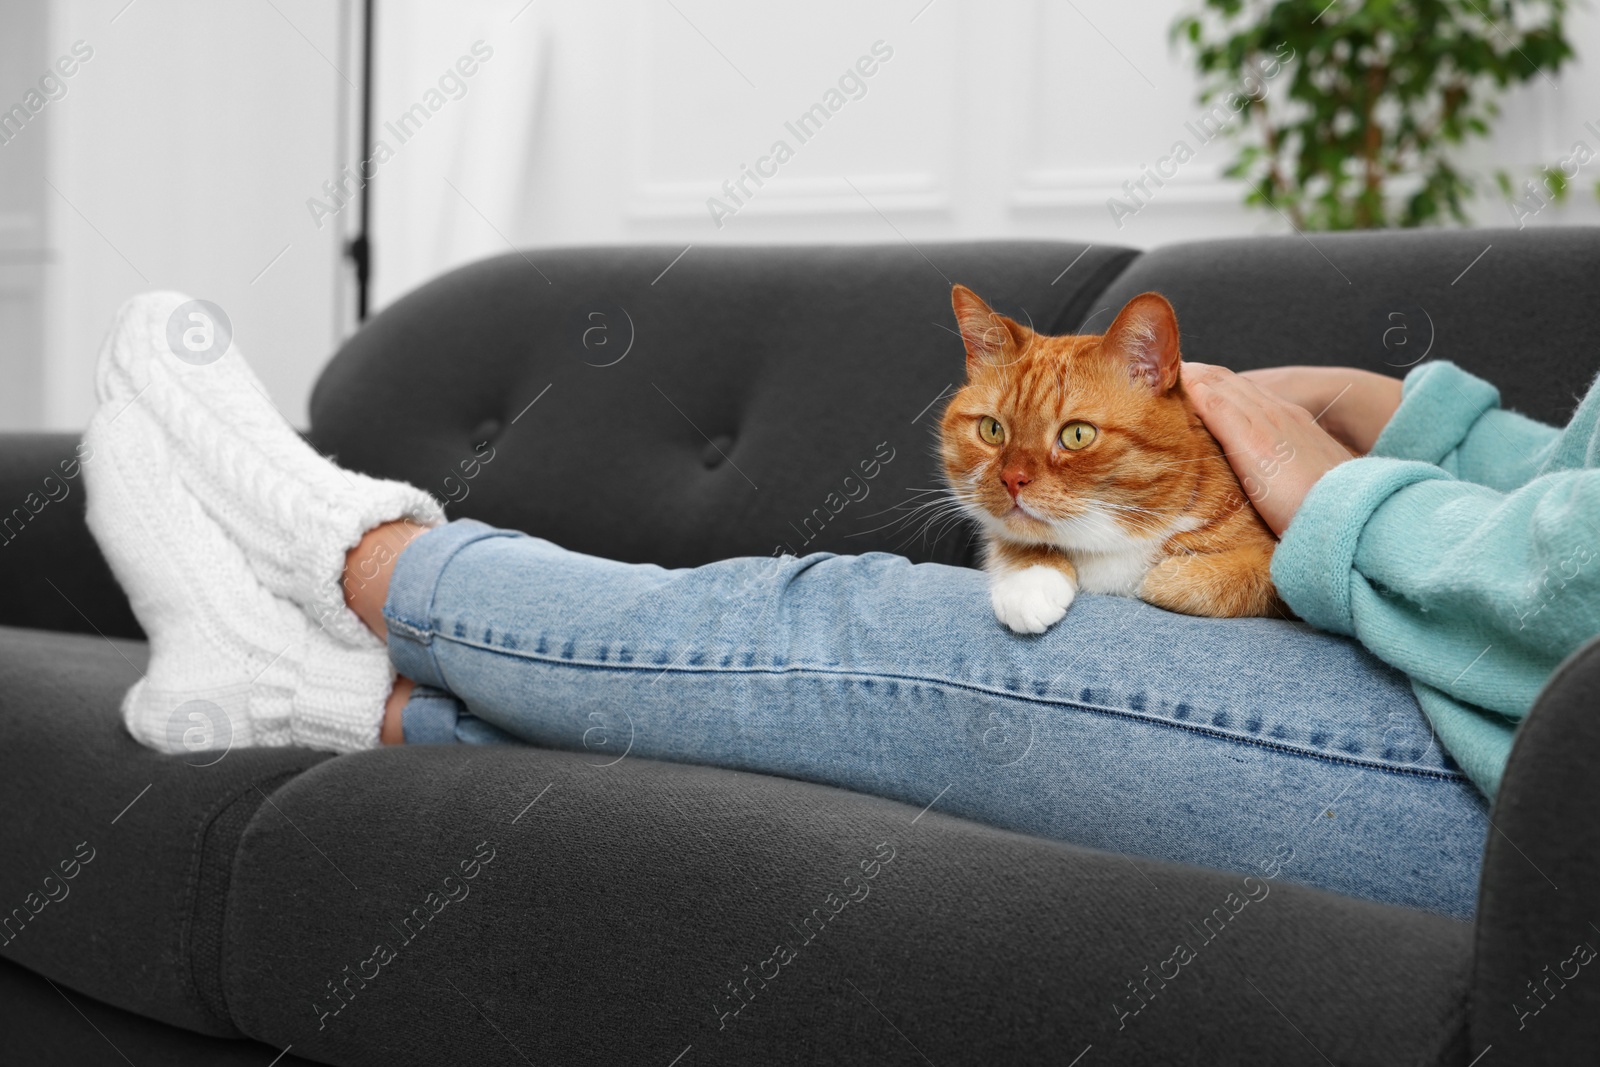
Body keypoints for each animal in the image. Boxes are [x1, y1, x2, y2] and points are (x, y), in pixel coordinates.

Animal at [934, 286, 1286, 633]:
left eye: (1077, 435)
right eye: (992, 430)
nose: (1012, 479)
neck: (1114, 540)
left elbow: (1248, 574)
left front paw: (1165, 578)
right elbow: (1016, 539)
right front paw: (1030, 581)